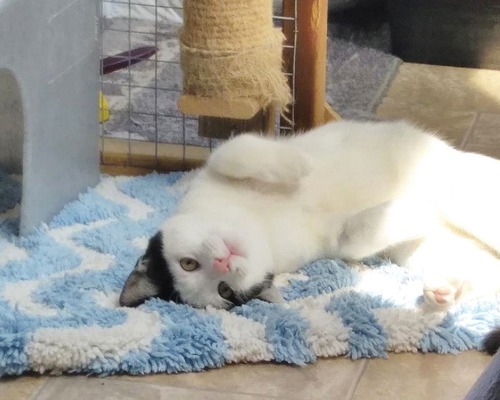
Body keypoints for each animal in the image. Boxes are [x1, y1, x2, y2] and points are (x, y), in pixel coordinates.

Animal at [119, 120, 500, 310]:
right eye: (223, 291)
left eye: (187, 264)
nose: (223, 264)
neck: (259, 224)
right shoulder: (331, 244)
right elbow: (353, 239)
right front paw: (413, 205)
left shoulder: (213, 167)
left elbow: (233, 150)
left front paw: (297, 164)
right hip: (428, 249)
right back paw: (446, 290)